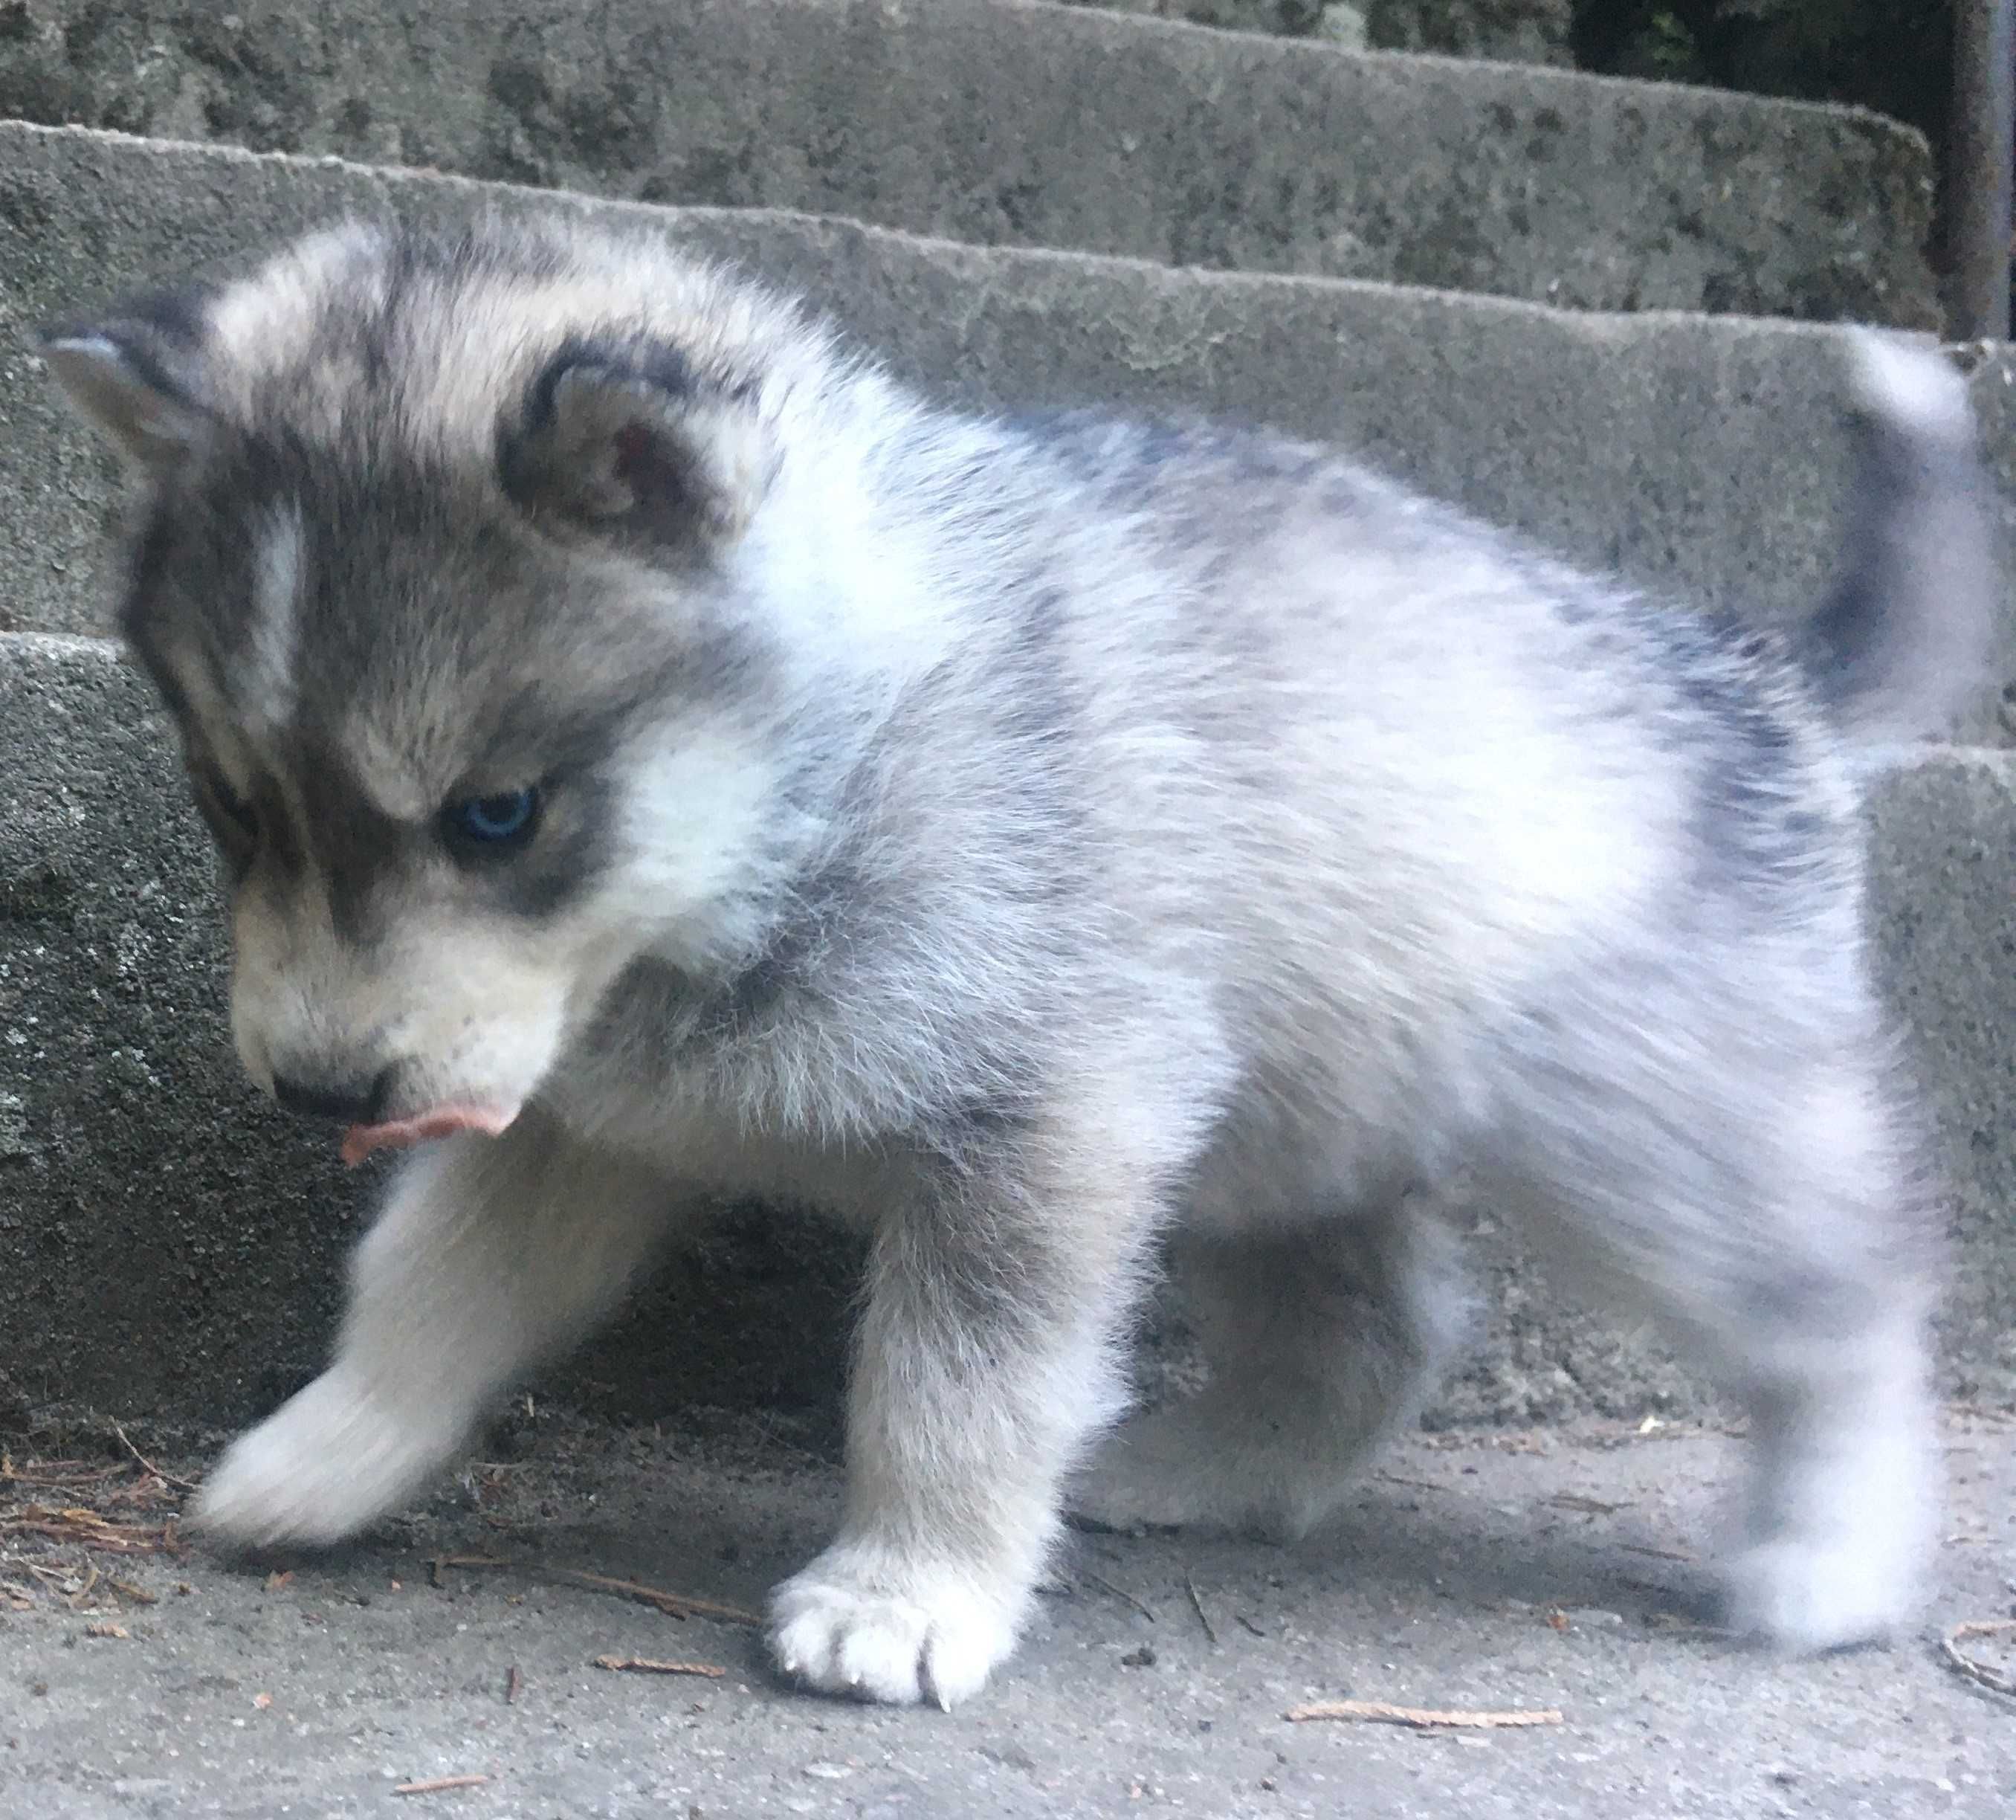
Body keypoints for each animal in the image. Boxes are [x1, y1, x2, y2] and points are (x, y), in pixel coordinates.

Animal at [47, 216, 2000, 1708]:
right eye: (233, 807)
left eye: (499, 813)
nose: (316, 1089)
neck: (813, 786)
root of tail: (1755, 673)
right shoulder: (574, 1129)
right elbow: (426, 1294)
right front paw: (325, 1452)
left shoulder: (1041, 1130)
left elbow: (951, 1390)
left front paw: (906, 1592)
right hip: (1270, 1129)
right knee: (1377, 1327)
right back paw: (1208, 1469)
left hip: (1652, 1144)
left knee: (1845, 1305)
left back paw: (1828, 1549)